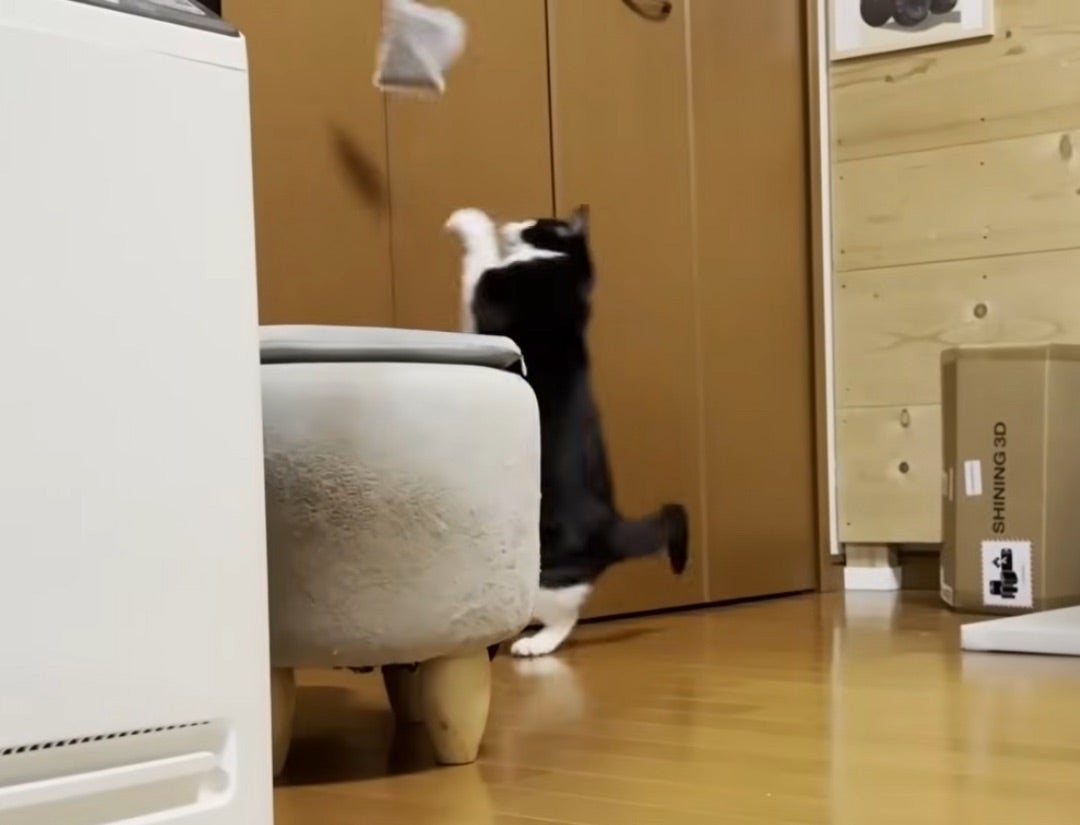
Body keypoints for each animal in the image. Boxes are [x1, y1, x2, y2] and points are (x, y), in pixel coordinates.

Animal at [445, 205, 689, 657]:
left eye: (533, 221)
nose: (511, 222)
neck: (565, 266)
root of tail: (612, 529)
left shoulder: (488, 289)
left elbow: (481, 255)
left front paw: (469, 221)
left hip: (540, 571)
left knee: (564, 616)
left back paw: (532, 646)